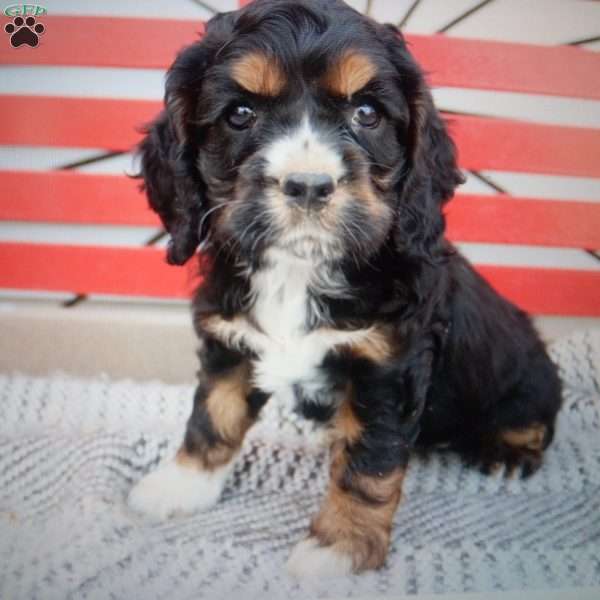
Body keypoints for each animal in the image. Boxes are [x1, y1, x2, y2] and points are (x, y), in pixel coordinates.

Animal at [127, 0, 564, 576]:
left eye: (368, 114)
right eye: (240, 114)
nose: (309, 185)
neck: (299, 271)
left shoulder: (386, 367)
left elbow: (368, 463)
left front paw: (338, 548)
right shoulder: (233, 339)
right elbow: (212, 415)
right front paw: (181, 484)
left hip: (527, 376)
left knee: (534, 417)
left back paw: (509, 453)